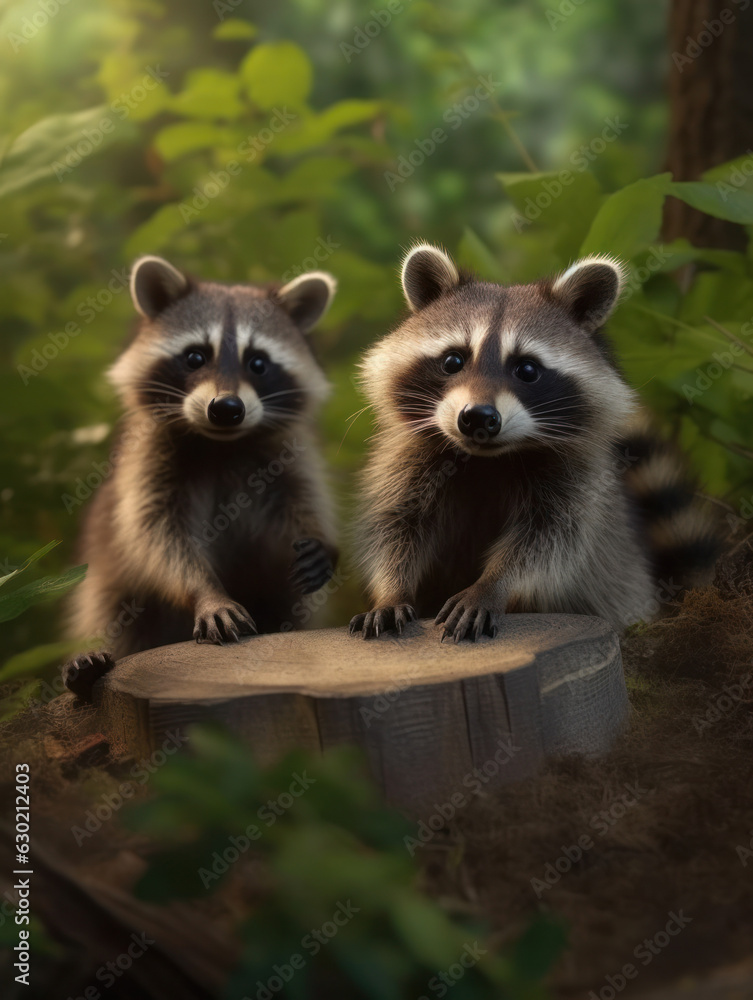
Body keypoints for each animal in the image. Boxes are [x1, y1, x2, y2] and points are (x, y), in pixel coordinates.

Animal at [63, 255, 339, 697]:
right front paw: (205, 591)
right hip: (110, 586)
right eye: (195, 357)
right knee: (111, 611)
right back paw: (88, 666)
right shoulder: (148, 463)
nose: (226, 408)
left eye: (258, 363)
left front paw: (322, 543)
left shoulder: (286, 458)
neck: (220, 444)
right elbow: (157, 536)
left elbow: (303, 503)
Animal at [349, 244, 718, 642]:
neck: (486, 459)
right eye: (453, 360)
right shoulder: (408, 462)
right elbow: (394, 527)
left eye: (527, 369)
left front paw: (491, 586)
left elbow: (547, 546)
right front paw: (391, 590)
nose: (478, 418)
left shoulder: (577, 482)